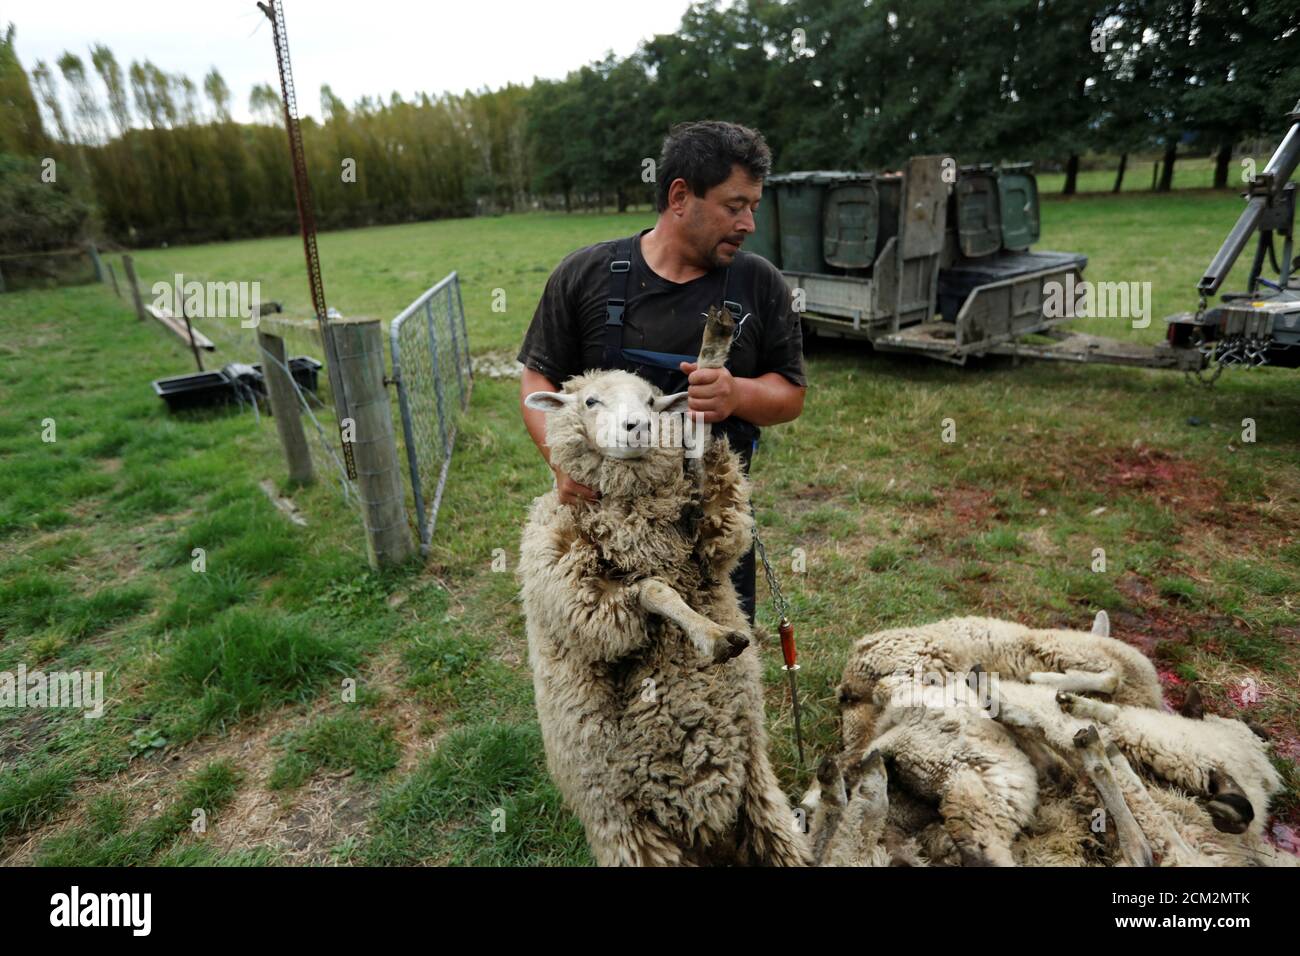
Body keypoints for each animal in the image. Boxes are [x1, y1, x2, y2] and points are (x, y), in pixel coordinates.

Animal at [517, 357, 810, 867]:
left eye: (653, 400)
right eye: (590, 400)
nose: (641, 426)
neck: (637, 520)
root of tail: (708, 837)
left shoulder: (711, 543)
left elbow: (723, 525)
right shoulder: (575, 586)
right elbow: (651, 590)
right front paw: (712, 636)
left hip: (762, 800)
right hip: (631, 834)